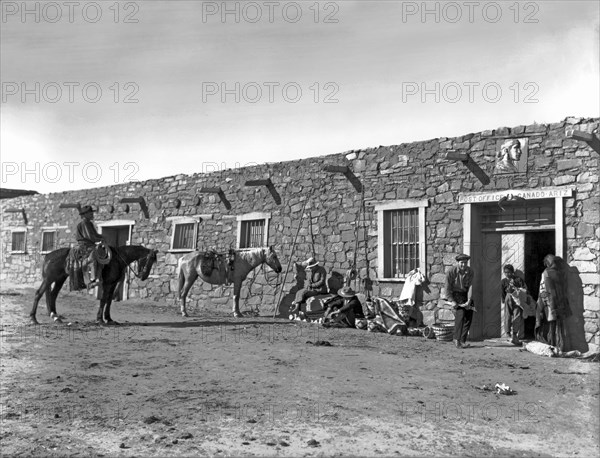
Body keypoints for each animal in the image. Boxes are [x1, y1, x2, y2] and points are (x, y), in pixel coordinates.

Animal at [30, 245, 158, 324]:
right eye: (149, 260)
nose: (144, 276)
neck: (118, 259)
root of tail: (47, 256)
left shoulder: (113, 284)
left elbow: (109, 300)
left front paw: (109, 319)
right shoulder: (107, 284)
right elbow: (103, 300)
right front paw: (100, 319)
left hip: (59, 279)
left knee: (52, 295)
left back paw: (55, 316)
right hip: (49, 279)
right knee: (38, 293)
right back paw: (33, 319)